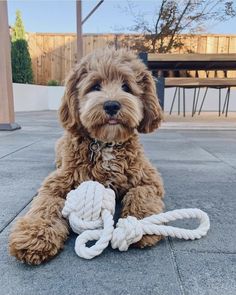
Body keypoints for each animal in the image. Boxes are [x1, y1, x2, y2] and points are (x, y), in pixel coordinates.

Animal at [8, 47, 164, 264]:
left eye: (126, 86)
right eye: (95, 86)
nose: (112, 105)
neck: (106, 144)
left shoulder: (149, 179)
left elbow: (141, 193)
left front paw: (142, 223)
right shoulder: (56, 183)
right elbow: (45, 204)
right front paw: (35, 236)